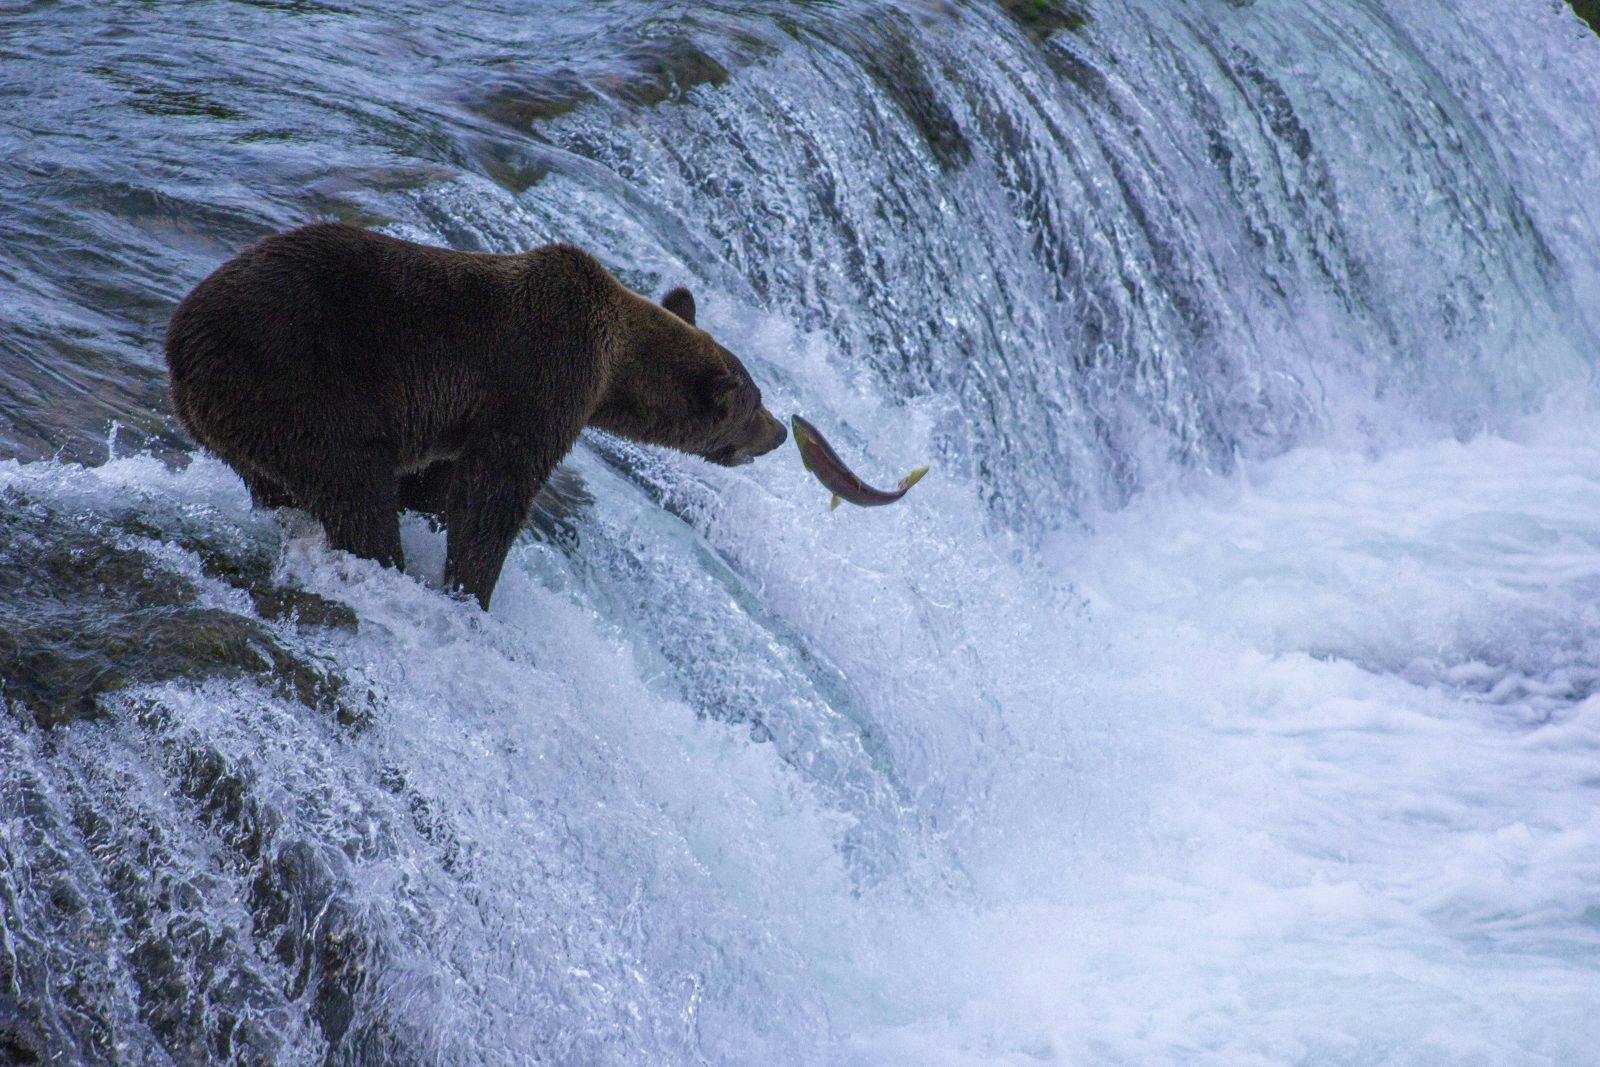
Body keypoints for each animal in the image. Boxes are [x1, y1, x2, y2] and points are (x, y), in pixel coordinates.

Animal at [165, 223, 784, 607]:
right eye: (752, 405)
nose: (779, 432)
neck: (613, 370)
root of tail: (178, 343)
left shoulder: (457, 421)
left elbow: (439, 485)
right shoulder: (539, 382)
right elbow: (494, 494)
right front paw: (470, 590)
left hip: (244, 422)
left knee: (281, 486)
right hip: (299, 381)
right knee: (354, 486)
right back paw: (381, 565)